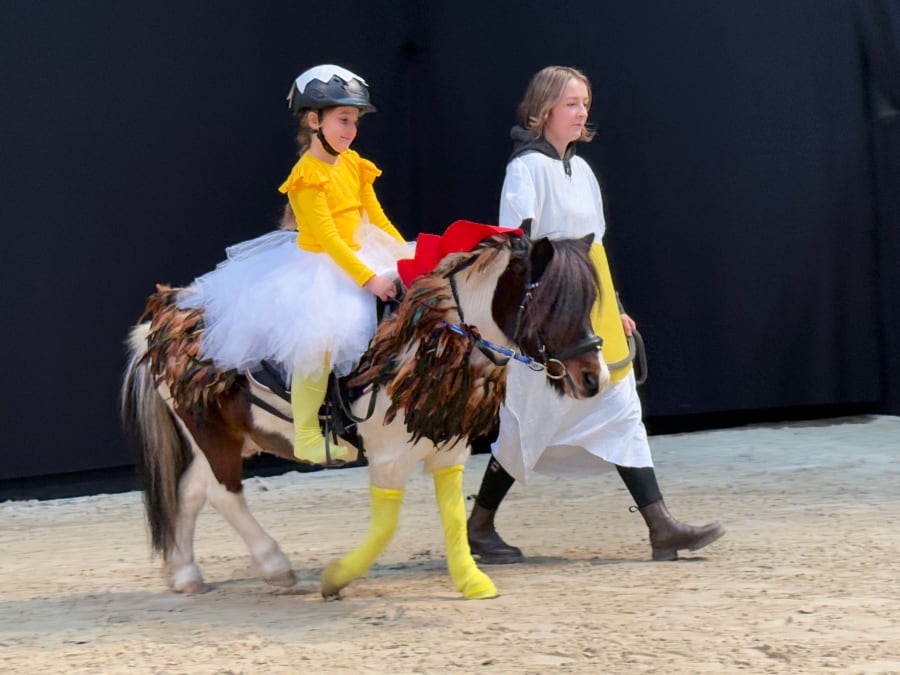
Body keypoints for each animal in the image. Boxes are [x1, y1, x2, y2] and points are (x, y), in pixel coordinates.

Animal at [119, 228, 608, 604]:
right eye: (550, 303)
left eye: (588, 304)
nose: (594, 378)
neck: (431, 335)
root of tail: (160, 323)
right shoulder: (388, 457)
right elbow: (386, 527)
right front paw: (335, 578)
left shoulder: (448, 446)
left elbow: (452, 514)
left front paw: (472, 582)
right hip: (210, 429)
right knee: (223, 494)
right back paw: (274, 565)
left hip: (227, 432)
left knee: (190, 491)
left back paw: (185, 574)